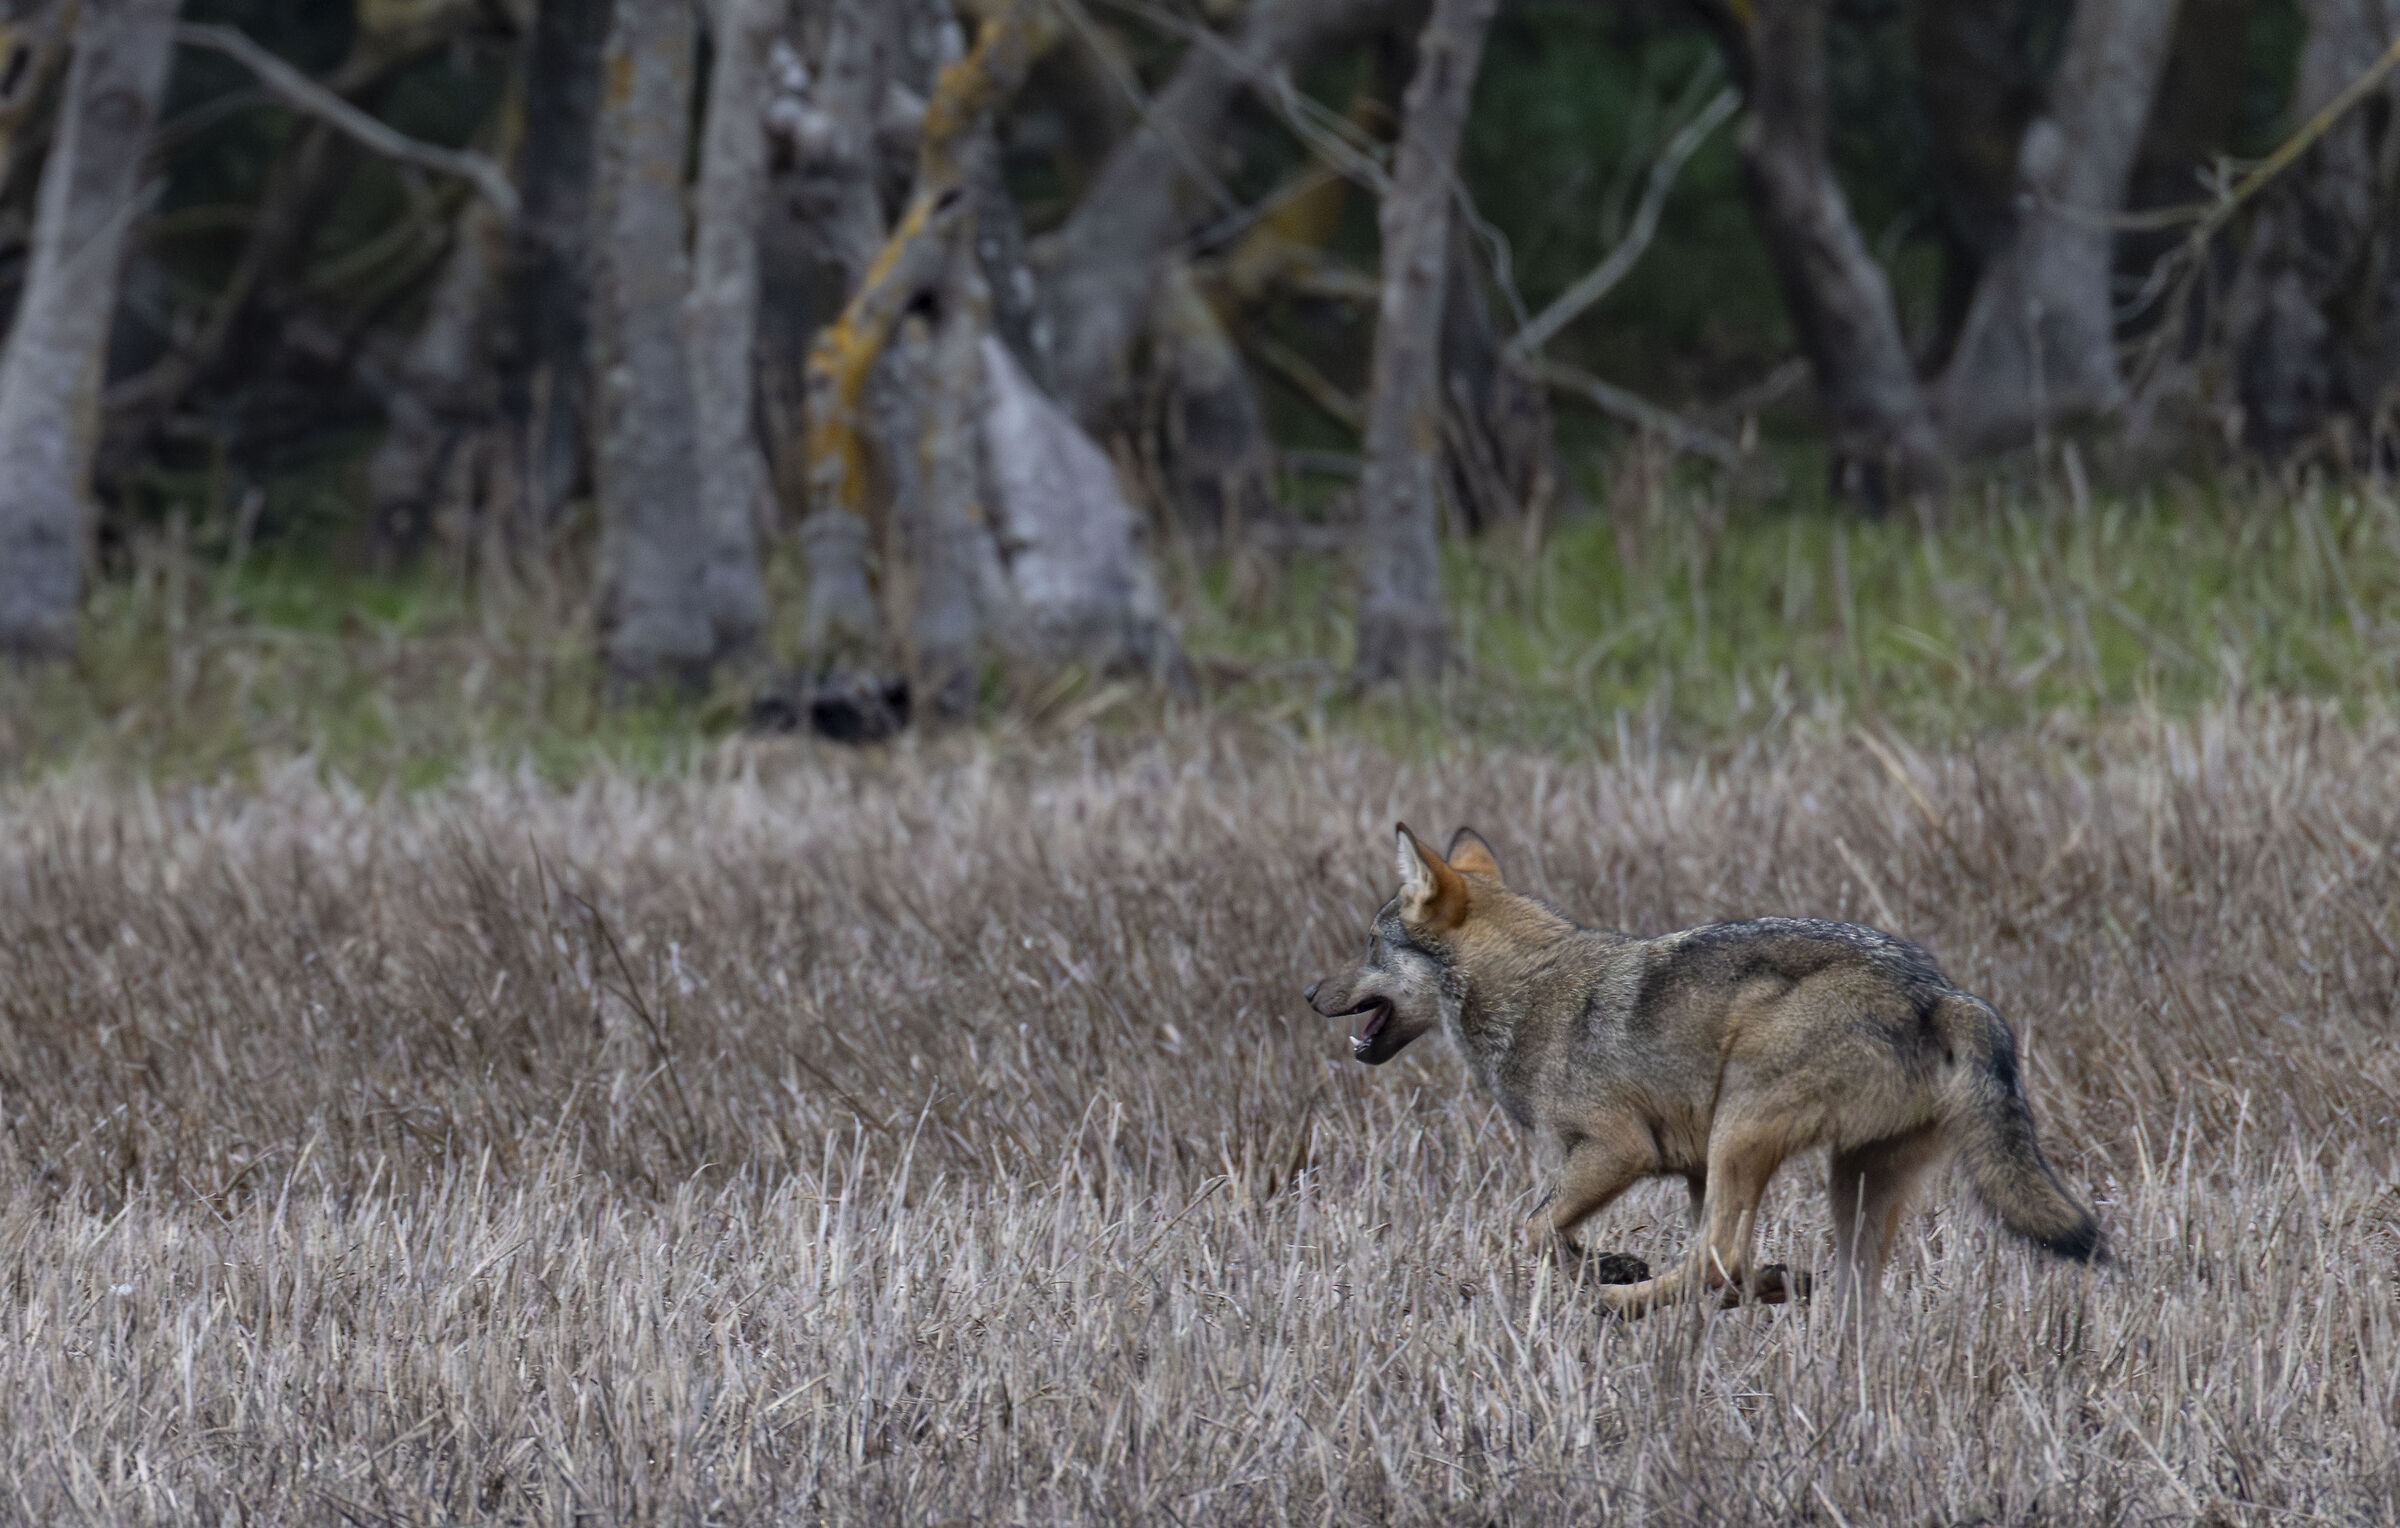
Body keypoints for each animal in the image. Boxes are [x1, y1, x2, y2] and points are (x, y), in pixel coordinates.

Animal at [1303, 824, 2103, 1317]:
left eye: (1369, 944)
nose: (1309, 995)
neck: (1530, 993)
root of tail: (1940, 993)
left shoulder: (1619, 1151)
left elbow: (1524, 1233)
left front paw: (1603, 1276)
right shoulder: (1676, 1172)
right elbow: (1550, 1235)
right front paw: (1613, 1263)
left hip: (1742, 1133)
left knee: (1719, 1258)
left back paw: (1619, 1307)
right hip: (1842, 1179)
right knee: (1810, 1284)